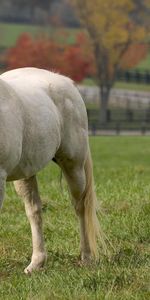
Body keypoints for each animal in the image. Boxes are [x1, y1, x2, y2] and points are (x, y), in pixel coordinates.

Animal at [0, 68, 101, 274]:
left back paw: (86, 257)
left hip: (74, 166)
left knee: (80, 207)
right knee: (34, 212)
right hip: (26, 173)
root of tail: (67, 81)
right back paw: (36, 263)